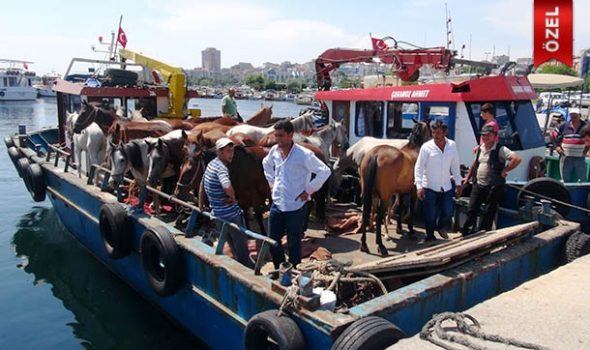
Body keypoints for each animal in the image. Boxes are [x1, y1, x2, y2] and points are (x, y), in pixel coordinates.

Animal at [358, 121, 432, 256]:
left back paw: (364, 245)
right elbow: (410, 209)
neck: (414, 149)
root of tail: (376, 154)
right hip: (385, 196)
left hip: (368, 193)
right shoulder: (413, 191)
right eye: (431, 129)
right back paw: (381, 245)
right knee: (379, 216)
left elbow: (401, 207)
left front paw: (399, 229)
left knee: (366, 213)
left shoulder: (401, 191)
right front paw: (411, 231)